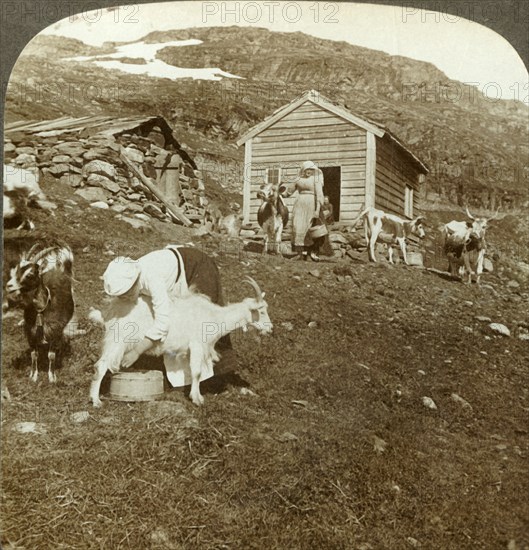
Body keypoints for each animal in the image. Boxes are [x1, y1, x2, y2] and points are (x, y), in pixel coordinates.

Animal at [90, 278, 270, 408]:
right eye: (261, 311)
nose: (270, 328)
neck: (215, 316)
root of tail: (110, 311)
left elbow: (192, 373)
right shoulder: (197, 345)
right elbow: (197, 372)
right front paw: (197, 399)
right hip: (118, 340)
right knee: (101, 365)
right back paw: (96, 401)